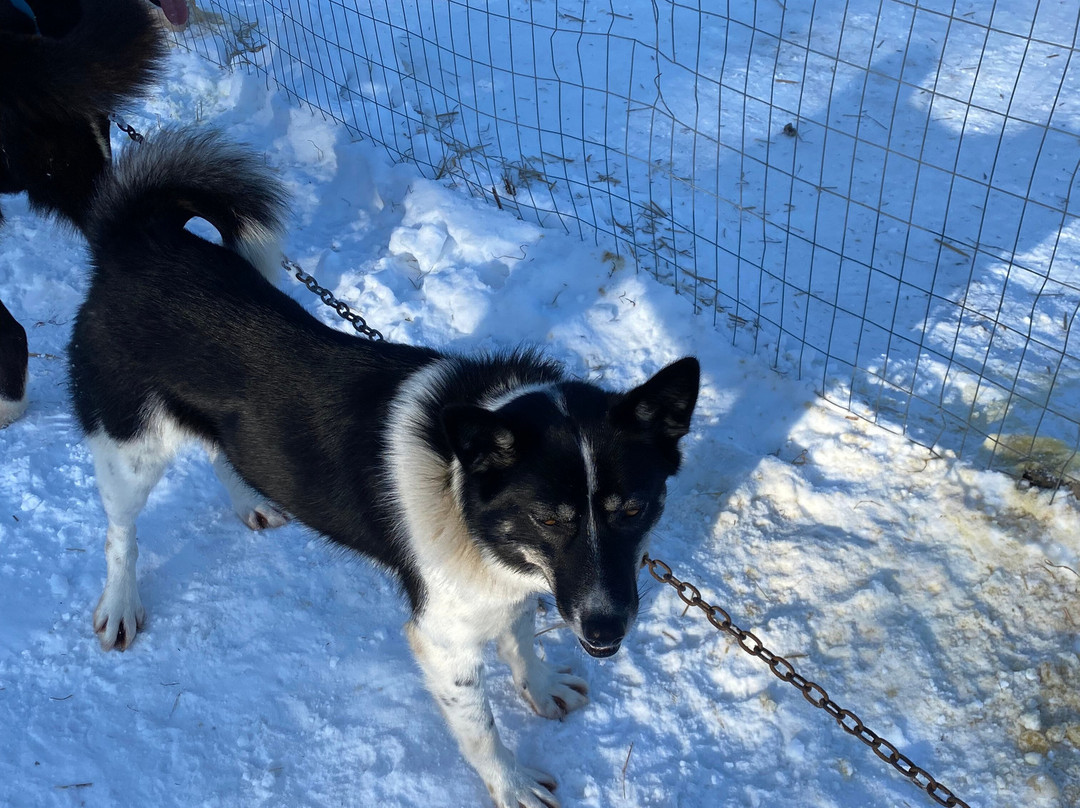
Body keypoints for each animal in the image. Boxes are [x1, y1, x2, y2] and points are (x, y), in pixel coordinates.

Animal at [69, 128, 700, 808]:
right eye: (549, 519)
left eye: (632, 509)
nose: (607, 628)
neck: (460, 491)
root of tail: (138, 239)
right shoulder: (444, 640)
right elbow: (480, 726)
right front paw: (510, 782)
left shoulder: (509, 593)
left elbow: (521, 640)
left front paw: (538, 685)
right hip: (129, 448)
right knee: (120, 533)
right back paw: (121, 603)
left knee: (219, 451)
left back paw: (251, 500)